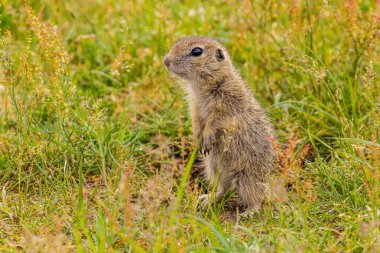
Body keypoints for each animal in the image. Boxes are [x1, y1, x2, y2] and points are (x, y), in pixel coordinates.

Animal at [163, 36, 274, 212]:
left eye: (197, 51)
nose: (166, 61)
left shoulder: (226, 106)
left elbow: (215, 121)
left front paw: (207, 136)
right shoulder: (194, 106)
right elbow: (196, 121)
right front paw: (198, 137)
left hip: (246, 177)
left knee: (257, 197)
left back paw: (250, 211)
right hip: (214, 169)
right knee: (225, 189)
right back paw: (207, 199)